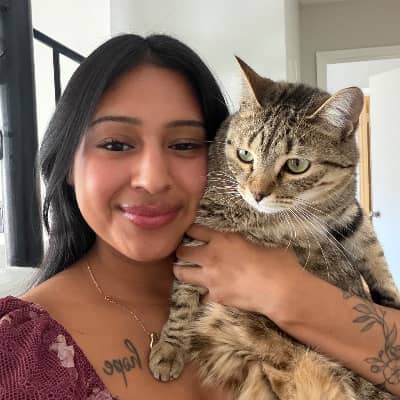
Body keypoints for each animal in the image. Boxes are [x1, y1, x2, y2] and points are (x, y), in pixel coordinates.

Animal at [149, 57, 400, 400]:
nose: (257, 193)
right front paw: (171, 346)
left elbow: (374, 253)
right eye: (245, 155)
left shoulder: (347, 212)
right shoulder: (204, 223)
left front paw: (391, 299)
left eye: (296, 165)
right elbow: (184, 297)